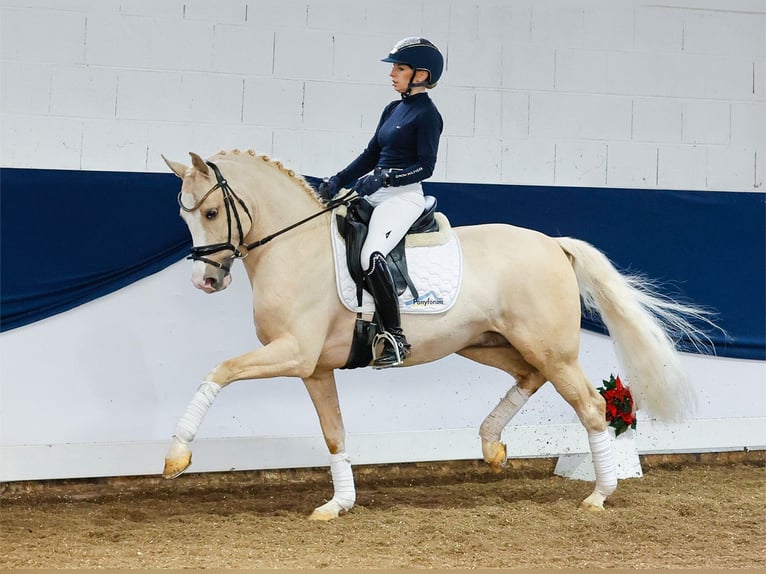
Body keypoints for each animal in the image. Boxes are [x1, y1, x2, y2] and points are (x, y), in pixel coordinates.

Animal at [159, 148, 712, 520]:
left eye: (211, 212)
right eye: (184, 215)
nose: (205, 280)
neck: (295, 248)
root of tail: (553, 244)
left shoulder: (292, 354)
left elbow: (220, 370)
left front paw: (177, 455)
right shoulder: (313, 367)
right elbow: (334, 433)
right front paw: (339, 504)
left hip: (551, 350)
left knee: (593, 407)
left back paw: (599, 494)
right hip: (486, 344)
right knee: (528, 377)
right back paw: (492, 446)